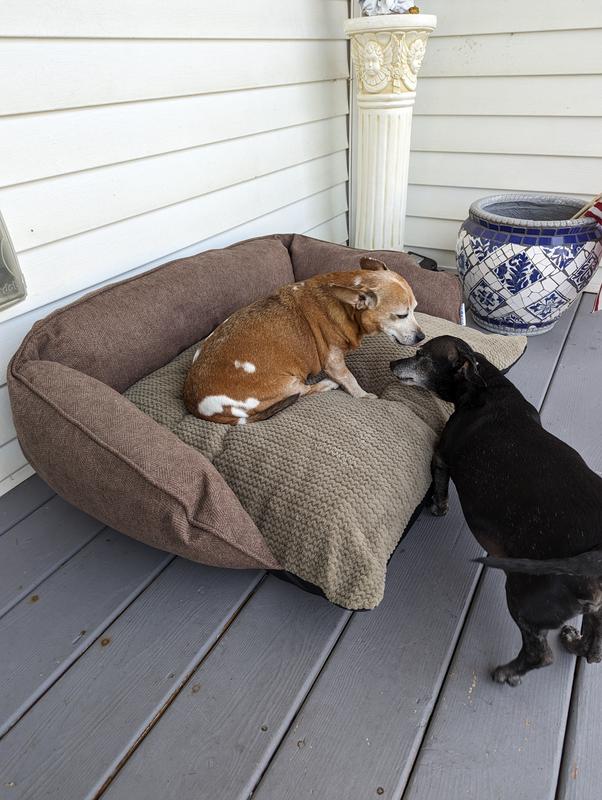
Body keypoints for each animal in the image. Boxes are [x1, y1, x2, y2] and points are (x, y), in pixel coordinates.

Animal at [183, 258, 422, 424]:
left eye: (415, 309)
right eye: (402, 315)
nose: (422, 337)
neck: (347, 307)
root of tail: (197, 405)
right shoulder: (334, 363)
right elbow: (350, 380)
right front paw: (364, 396)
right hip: (288, 384)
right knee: (304, 391)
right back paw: (326, 384)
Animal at [390, 338, 600, 688]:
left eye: (421, 356)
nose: (392, 364)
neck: (485, 387)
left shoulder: (441, 458)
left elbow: (440, 489)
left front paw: (438, 508)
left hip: (525, 599)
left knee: (540, 654)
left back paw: (506, 673)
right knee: (596, 648)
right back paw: (575, 643)